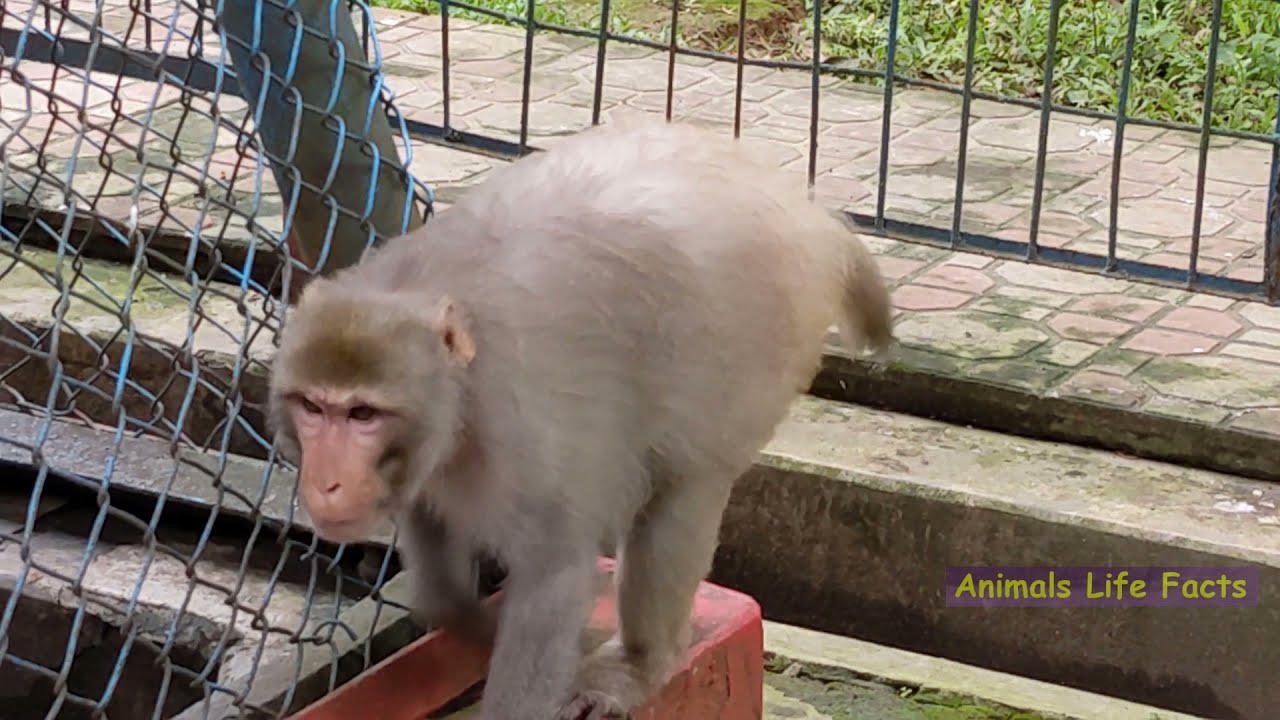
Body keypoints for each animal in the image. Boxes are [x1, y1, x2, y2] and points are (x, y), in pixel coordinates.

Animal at [266, 118, 893, 720]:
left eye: (362, 414)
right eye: (312, 407)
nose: (327, 482)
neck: (460, 388)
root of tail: (802, 211)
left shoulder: (519, 432)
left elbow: (552, 571)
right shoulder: (426, 455)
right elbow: (437, 562)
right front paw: (475, 627)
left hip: (752, 347)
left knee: (680, 492)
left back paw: (640, 664)